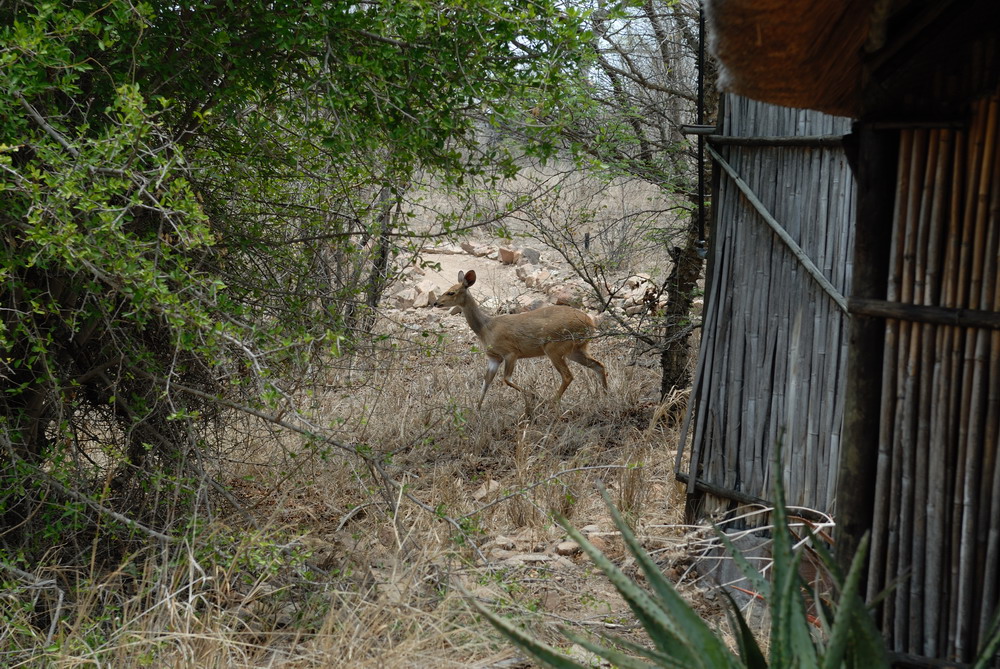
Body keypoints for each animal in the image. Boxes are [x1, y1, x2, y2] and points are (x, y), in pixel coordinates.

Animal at [434, 270, 604, 408]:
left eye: (451, 292)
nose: (436, 303)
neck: (486, 328)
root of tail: (590, 322)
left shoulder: (511, 352)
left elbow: (506, 379)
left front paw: (536, 396)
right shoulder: (493, 357)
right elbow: (486, 383)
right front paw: (477, 410)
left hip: (554, 347)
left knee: (568, 376)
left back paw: (551, 402)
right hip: (575, 349)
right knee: (598, 365)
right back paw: (605, 397)